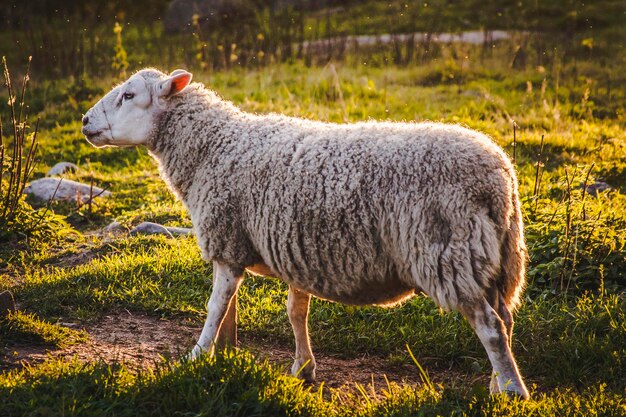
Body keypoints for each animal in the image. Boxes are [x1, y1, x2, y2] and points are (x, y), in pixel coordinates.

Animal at [83, 67, 528, 396]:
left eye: (128, 96)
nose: (85, 121)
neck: (214, 146)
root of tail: (498, 177)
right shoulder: (294, 244)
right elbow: (293, 311)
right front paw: (296, 367)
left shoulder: (227, 239)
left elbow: (215, 308)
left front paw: (197, 356)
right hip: (493, 259)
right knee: (505, 321)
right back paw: (497, 383)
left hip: (449, 252)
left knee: (490, 328)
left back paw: (512, 392)